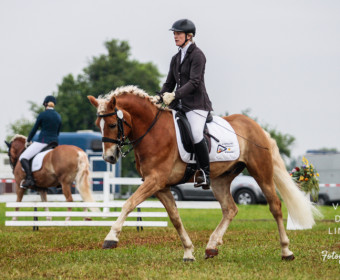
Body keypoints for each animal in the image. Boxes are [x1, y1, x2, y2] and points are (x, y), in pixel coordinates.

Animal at [88, 86, 322, 262]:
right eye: (98, 125)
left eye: (112, 124)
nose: (109, 157)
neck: (152, 132)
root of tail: (257, 127)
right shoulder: (160, 186)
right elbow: (175, 218)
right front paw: (188, 252)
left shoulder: (155, 181)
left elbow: (129, 204)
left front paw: (111, 238)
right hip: (220, 179)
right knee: (230, 209)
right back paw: (211, 246)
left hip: (261, 172)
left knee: (275, 206)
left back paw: (286, 251)